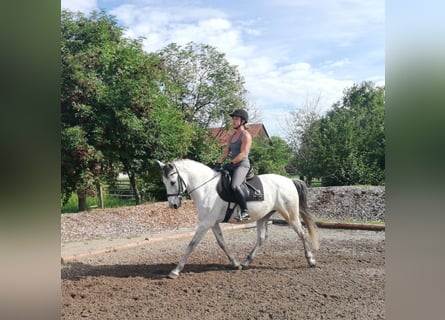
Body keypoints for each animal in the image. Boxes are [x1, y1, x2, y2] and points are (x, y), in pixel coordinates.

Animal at [154, 159, 318, 278]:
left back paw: (310, 260)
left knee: (302, 233)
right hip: (263, 216)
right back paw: (246, 262)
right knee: (261, 238)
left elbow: (191, 244)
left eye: (173, 182)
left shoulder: (205, 224)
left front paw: (175, 271)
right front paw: (236, 264)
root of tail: (290, 181)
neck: (206, 189)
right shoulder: (212, 223)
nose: (173, 205)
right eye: (164, 182)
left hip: (290, 214)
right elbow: (222, 244)